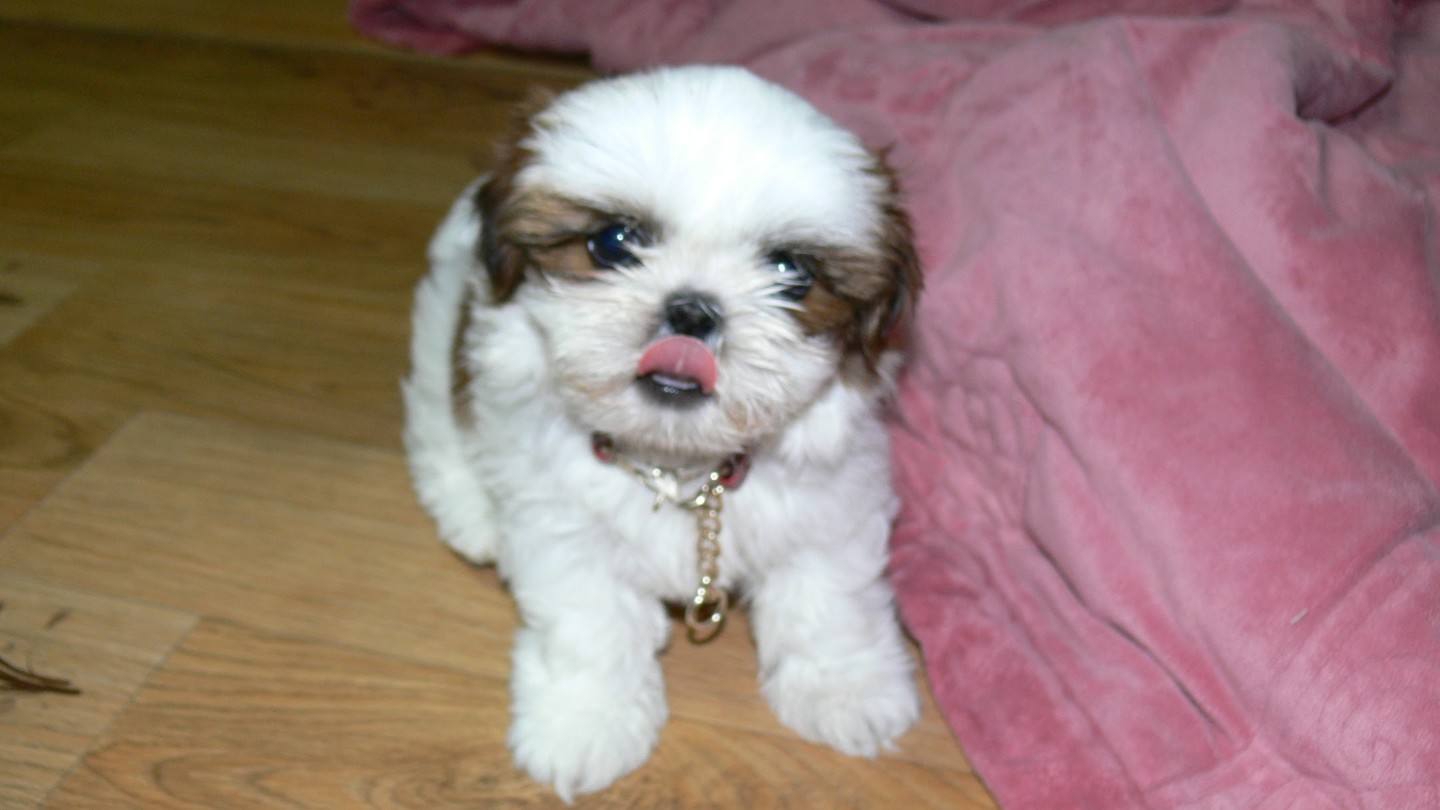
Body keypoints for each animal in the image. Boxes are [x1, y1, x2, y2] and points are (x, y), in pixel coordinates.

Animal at [403, 64, 922, 800]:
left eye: (792, 272)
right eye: (613, 242)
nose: (693, 311)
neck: (678, 466)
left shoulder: (833, 504)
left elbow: (829, 598)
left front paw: (845, 690)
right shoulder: (565, 528)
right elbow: (590, 622)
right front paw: (586, 721)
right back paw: (472, 509)